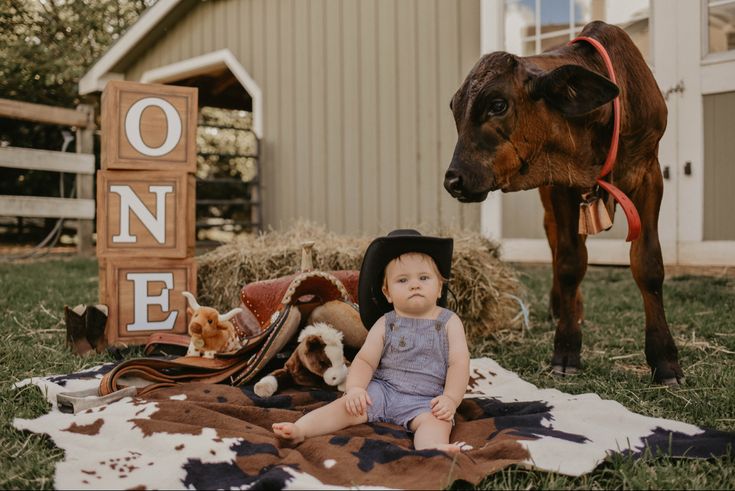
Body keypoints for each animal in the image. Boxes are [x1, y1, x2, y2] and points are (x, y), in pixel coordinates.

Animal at [448, 21, 684, 386]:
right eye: (455, 110)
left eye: (498, 105)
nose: (453, 179)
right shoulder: (561, 184)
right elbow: (570, 262)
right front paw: (567, 350)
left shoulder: (649, 174)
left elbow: (648, 264)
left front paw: (665, 359)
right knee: (555, 239)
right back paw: (563, 306)